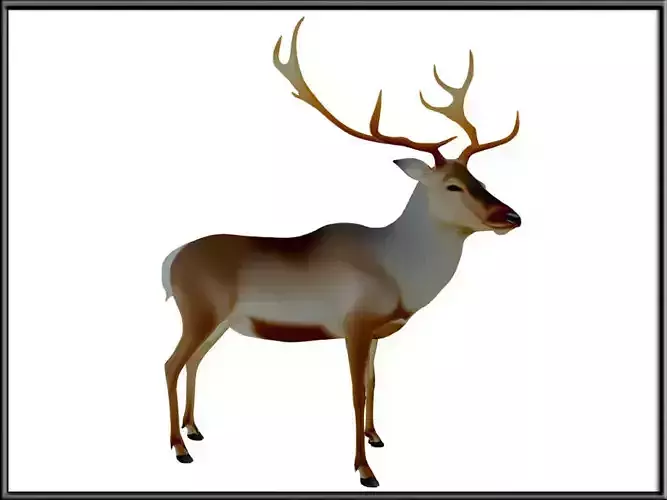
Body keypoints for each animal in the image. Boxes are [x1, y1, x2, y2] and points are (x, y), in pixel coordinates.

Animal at [161, 17, 521, 488]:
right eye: (452, 186)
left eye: (479, 179)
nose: (512, 216)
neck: (400, 273)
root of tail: (169, 260)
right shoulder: (354, 322)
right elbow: (355, 392)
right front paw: (365, 470)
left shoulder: (377, 332)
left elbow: (374, 382)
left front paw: (376, 437)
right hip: (198, 310)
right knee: (170, 364)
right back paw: (179, 448)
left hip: (217, 321)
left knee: (194, 363)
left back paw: (194, 430)